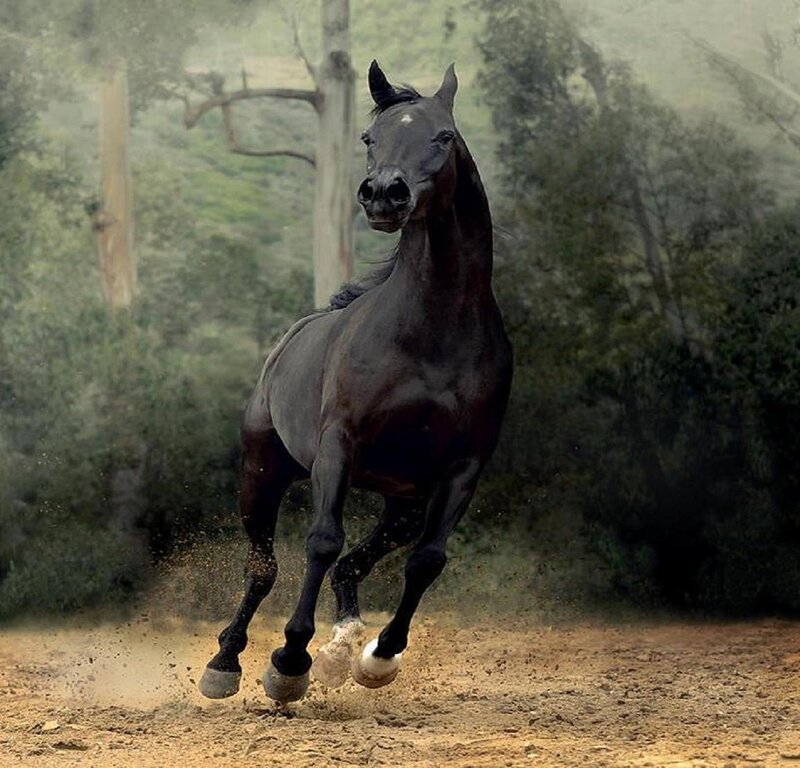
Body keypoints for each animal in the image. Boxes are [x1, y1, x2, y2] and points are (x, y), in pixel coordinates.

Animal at [198, 61, 513, 703]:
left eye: (443, 136)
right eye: (370, 138)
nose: (384, 193)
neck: (431, 333)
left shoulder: (463, 468)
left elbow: (427, 561)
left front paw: (378, 658)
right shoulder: (338, 447)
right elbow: (322, 540)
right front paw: (289, 661)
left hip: (402, 500)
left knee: (355, 566)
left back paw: (343, 645)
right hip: (262, 471)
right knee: (263, 567)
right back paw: (225, 662)